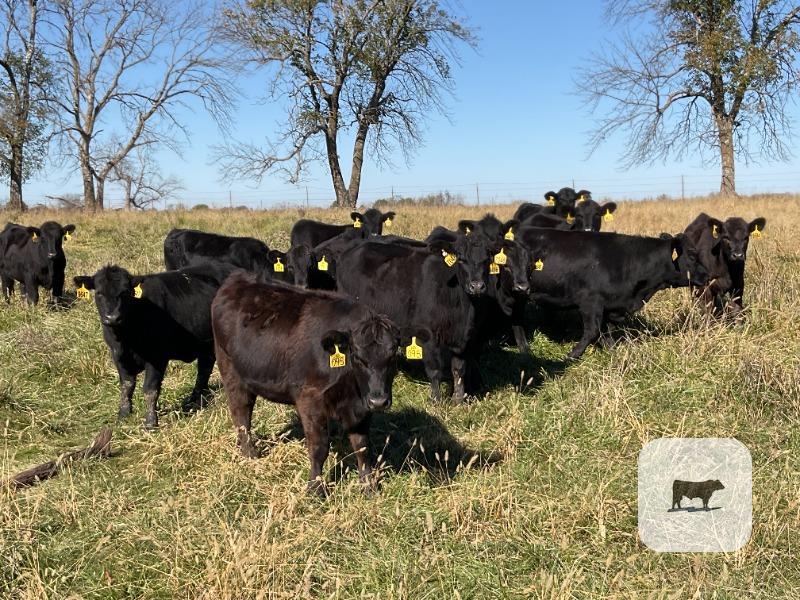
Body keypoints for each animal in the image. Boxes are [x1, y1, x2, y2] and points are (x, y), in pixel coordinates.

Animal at [73, 262, 235, 429]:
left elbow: (150, 389)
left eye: (125, 292)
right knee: (204, 368)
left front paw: (151, 422)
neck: (125, 339)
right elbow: (127, 385)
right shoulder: (118, 356)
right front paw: (123, 415)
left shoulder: (157, 358)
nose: (112, 317)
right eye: (99, 292)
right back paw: (194, 399)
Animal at [211, 272, 406, 495]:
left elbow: (363, 446)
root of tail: (238, 278)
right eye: (357, 356)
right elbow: (319, 447)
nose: (379, 401)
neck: (349, 387)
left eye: (392, 355)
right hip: (230, 370)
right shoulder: (310, 399)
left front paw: (368, 486)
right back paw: (250, 453)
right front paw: (315, 488)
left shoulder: (362, 406)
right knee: (241, 413)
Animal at [516, 227, 708, 359]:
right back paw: (525, 350)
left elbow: (607, 334)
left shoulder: (611, 306)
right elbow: (592, 331)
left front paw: (614, 355)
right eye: (692, 255)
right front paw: (572, 355)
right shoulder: (590, 302)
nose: (707, 274)